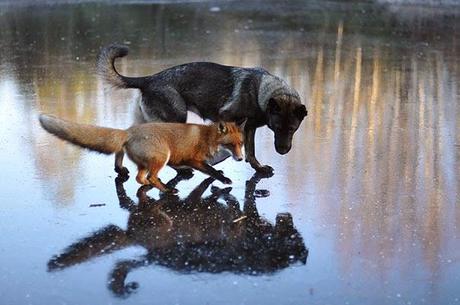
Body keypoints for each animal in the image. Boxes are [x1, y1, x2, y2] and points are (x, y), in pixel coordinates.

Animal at [38, 114, 244, 192]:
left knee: (139, 177)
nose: (241, 159)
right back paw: (166, 189)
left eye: (241, 144)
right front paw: (224, 179)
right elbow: (211, 171)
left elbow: (206, 170)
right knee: (150, 176)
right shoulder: (193, 158)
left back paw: (149, 184)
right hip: (162, 155)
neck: (208, 137)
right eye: (231, 144)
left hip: (150, 161)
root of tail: (129, 131)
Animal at [96, 44, 308, 173]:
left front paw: (257, 167)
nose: (283, 151)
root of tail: (148, 79)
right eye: (277, 128)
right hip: (175, 119)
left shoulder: (249, 127)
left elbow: (250, 151)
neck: (261, 92)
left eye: (292, 129)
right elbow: (243, 148)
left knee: (125, 138)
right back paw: (181, 169)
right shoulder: (229, 118)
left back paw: (119, 169)